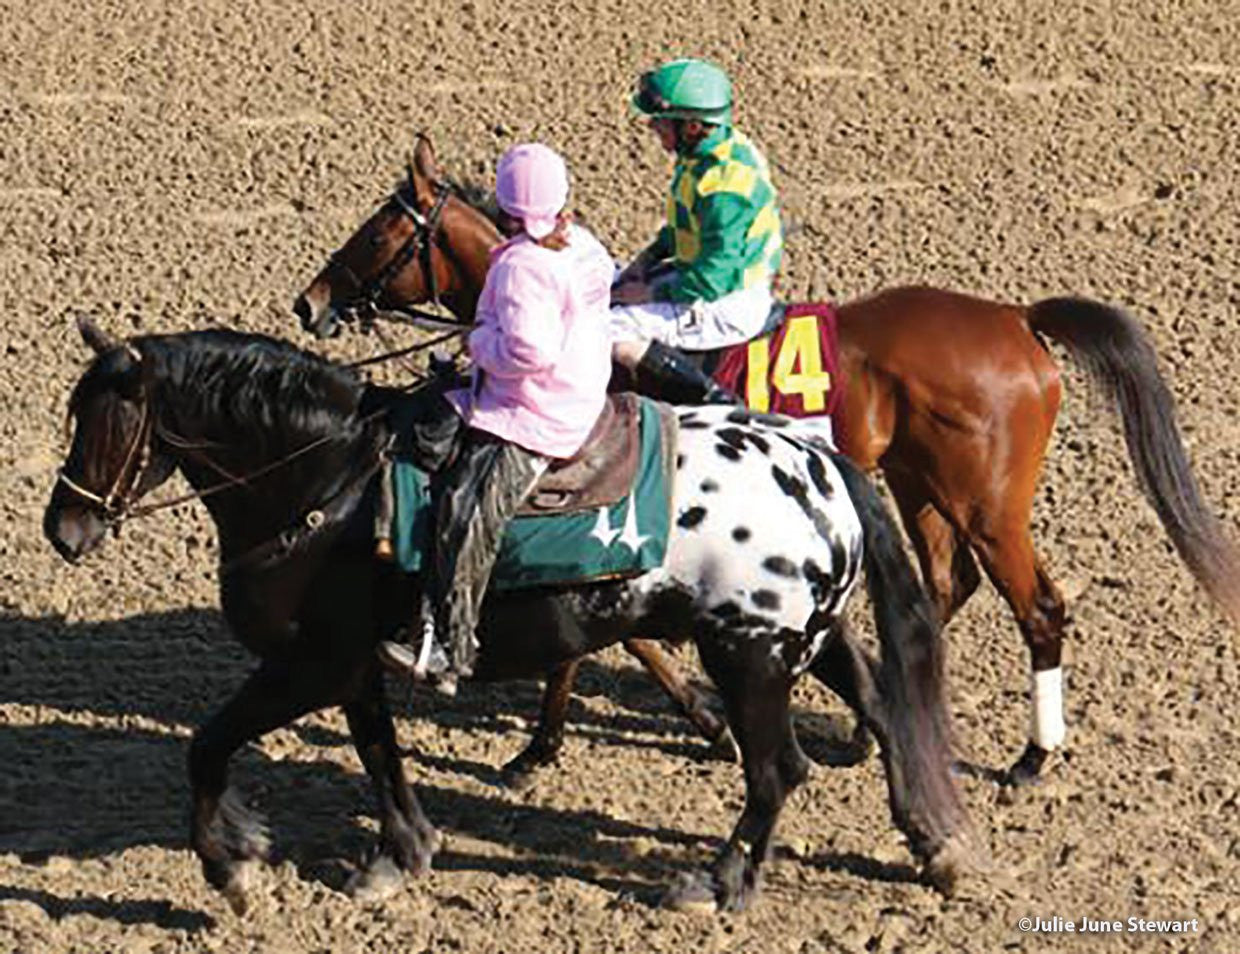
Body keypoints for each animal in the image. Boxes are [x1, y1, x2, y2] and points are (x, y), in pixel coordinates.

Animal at [43, 316, 972, 913]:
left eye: (104, 418)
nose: (63, 529)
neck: (330, 486)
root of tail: (818, 460)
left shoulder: (306, 663)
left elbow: (208, 745)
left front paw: (233, 872)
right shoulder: (353, 665)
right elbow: (379, 753)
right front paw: (401, 856)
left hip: (749, 657)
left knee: (778, 768)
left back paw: (719, 886)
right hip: (802, 641)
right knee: (879, 703)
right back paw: (933, 845)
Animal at [292, 137, 1240, 784]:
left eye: (378, 231)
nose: (309, 302)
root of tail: (1017, 319)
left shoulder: (611, 506)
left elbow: (612, 639)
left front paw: (563, 743)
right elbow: (603, 636)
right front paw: (566, 740)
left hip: (986, 500)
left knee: (1038, 606)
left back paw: (1031, 758)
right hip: (917, 483)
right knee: (945, 586)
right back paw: (870, 724)